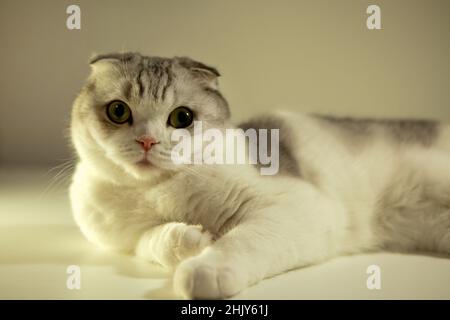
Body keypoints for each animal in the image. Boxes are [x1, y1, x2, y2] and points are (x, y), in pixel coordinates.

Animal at [69, 51, 450, 298]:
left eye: (182, 118)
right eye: (118, 111)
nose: (147, 141)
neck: (156, 190)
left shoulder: (294, 208)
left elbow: (239, 241)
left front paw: (204, 268)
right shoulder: (125, 239)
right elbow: (152, 240)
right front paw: (192, 240)